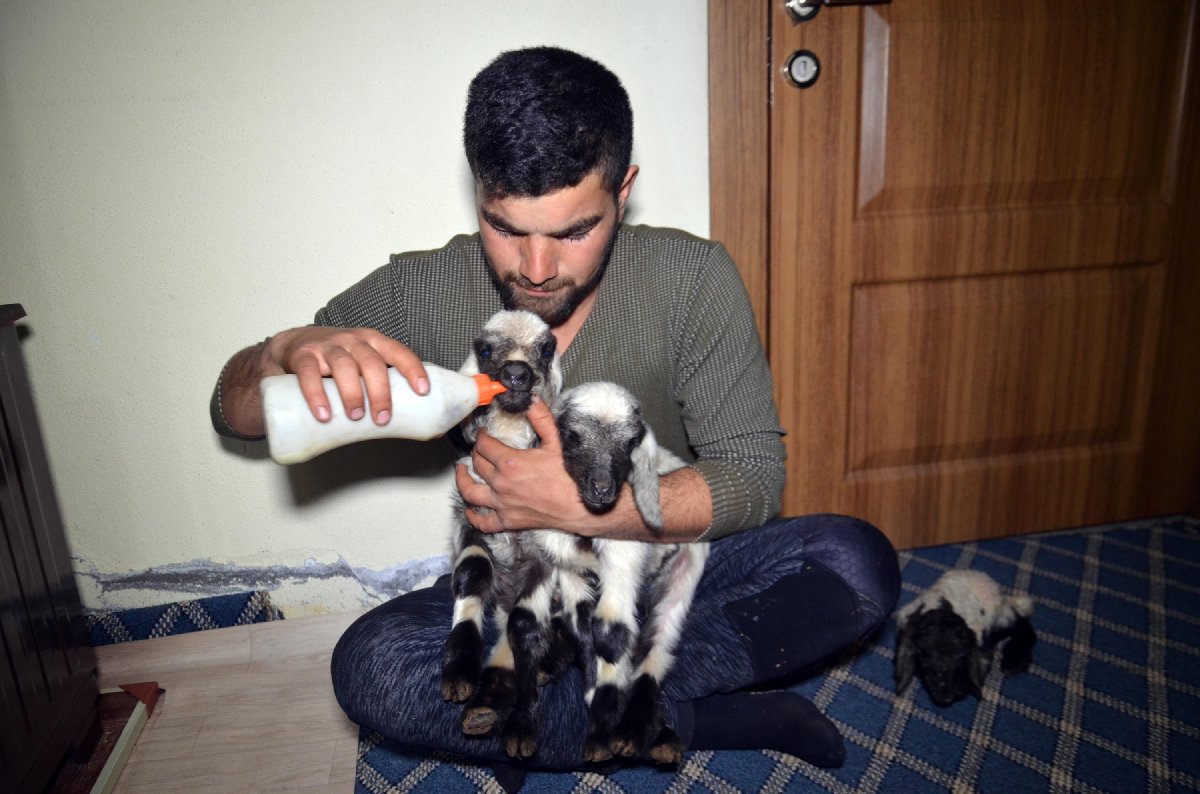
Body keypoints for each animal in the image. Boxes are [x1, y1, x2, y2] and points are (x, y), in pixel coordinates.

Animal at [897, 573, 1036, 710]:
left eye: (962, 656)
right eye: (923, 655)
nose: (947, 696)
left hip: (1003, 618)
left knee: (1023, 625)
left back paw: (1013, 663)